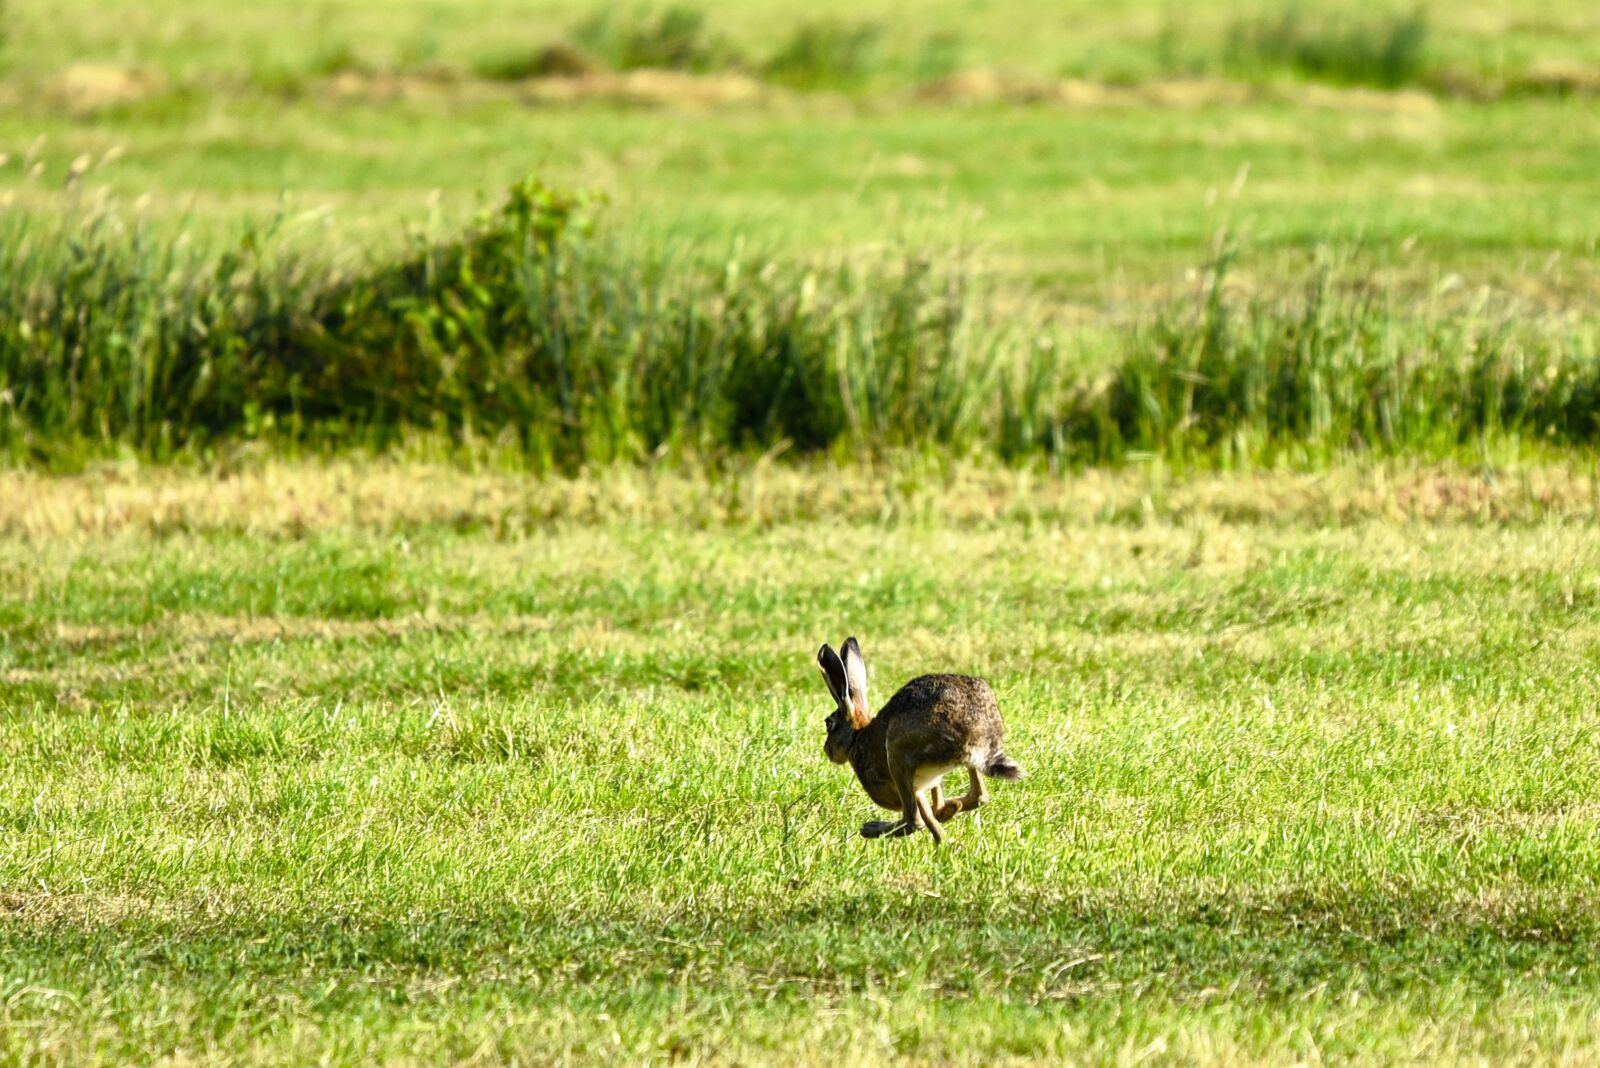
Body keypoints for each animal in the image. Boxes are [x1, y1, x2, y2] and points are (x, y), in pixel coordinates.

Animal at [817, 636, 1021, 844]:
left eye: (828, 724)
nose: (827, 750)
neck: (856, 737)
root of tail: (973, 736)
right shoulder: (925, 783)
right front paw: (946, 813)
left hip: (897, 755)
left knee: (913, 821)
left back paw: (870, 829)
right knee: (979, 796)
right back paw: (950, 812)